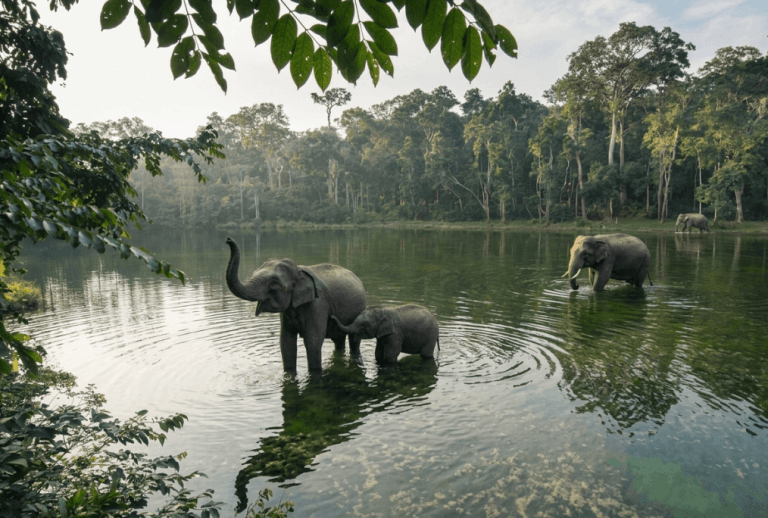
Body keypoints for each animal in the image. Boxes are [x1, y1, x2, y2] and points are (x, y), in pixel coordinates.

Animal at [225, 237, 366, 371]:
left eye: (274, 282)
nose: (228, 239)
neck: (299, 270)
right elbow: (286, 343)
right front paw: (289, 372)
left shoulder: (318, 304)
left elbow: (313, 341)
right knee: (338, 339)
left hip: (360, 308)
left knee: (354, 339)